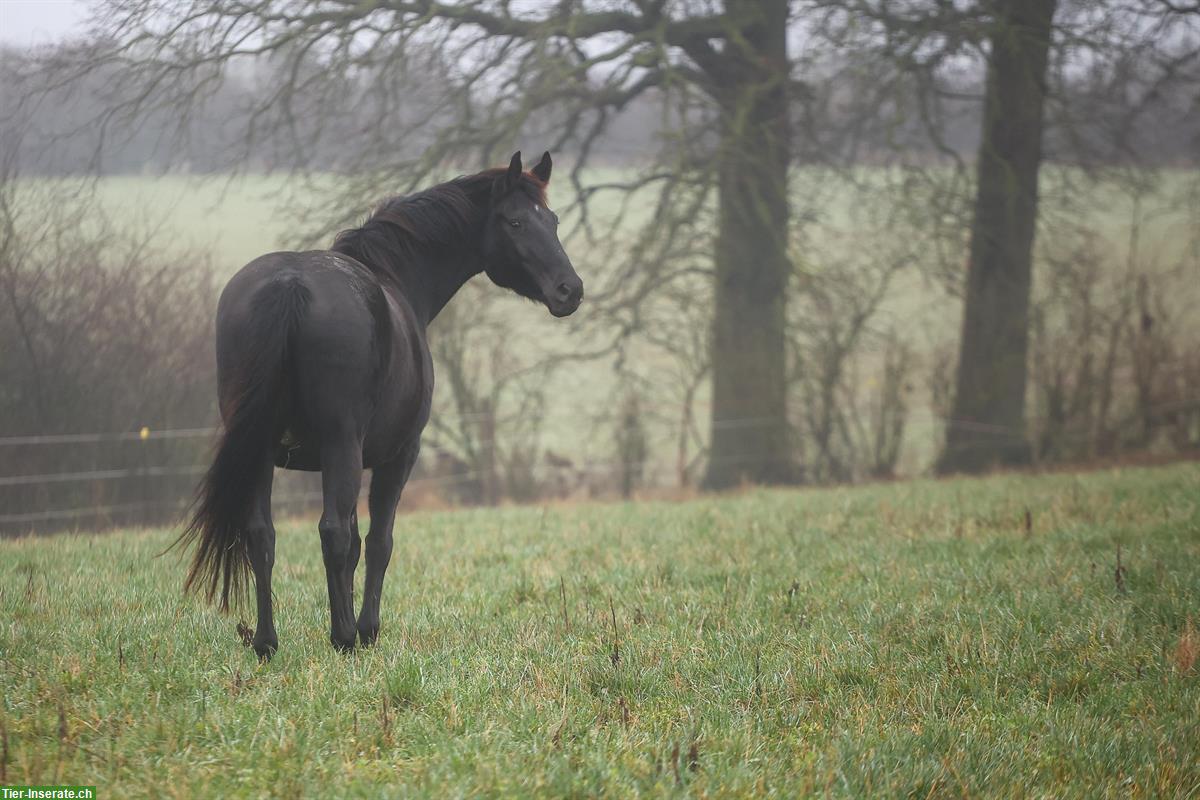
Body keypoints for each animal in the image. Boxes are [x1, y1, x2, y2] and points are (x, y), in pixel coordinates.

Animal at [176, 153, 580, 662]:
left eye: (553, 220)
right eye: (516, 221)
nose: (570, 290)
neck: (397, 281)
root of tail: (289, 284)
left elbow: (349, 546)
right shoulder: (397, 456)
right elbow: (377, 541)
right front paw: (366, 630)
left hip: (262, 450)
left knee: (262, 534)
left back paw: (267, 642)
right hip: (340, 445)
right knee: (332, 533)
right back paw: (344, 637)